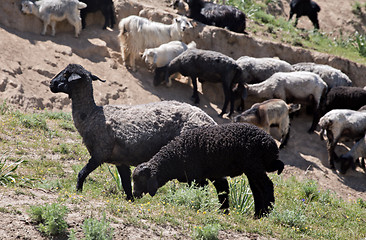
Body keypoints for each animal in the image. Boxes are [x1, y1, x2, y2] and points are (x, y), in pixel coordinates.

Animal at [50, 63, 219, 201]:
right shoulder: (120, 161)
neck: (91, 115)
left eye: (66, 74)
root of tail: (210, 122)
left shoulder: (100, 153)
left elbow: (82, 173)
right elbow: (126, 184)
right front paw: (130, 200)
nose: (51, 84)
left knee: (200, 184)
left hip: (190, 157)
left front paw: (78, 191)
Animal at [132, 123, 284, 218]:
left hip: (254, 167)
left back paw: (266, 213)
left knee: (267, 186)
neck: (176, 154)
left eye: (141, 180)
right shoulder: (215, 176)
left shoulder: (196, 178)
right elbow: (223, 192)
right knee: (257, 191)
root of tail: (270, 144)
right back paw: (257, 215)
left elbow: (202, 193)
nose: (134, 195)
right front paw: (224, 213)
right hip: (252, 169)